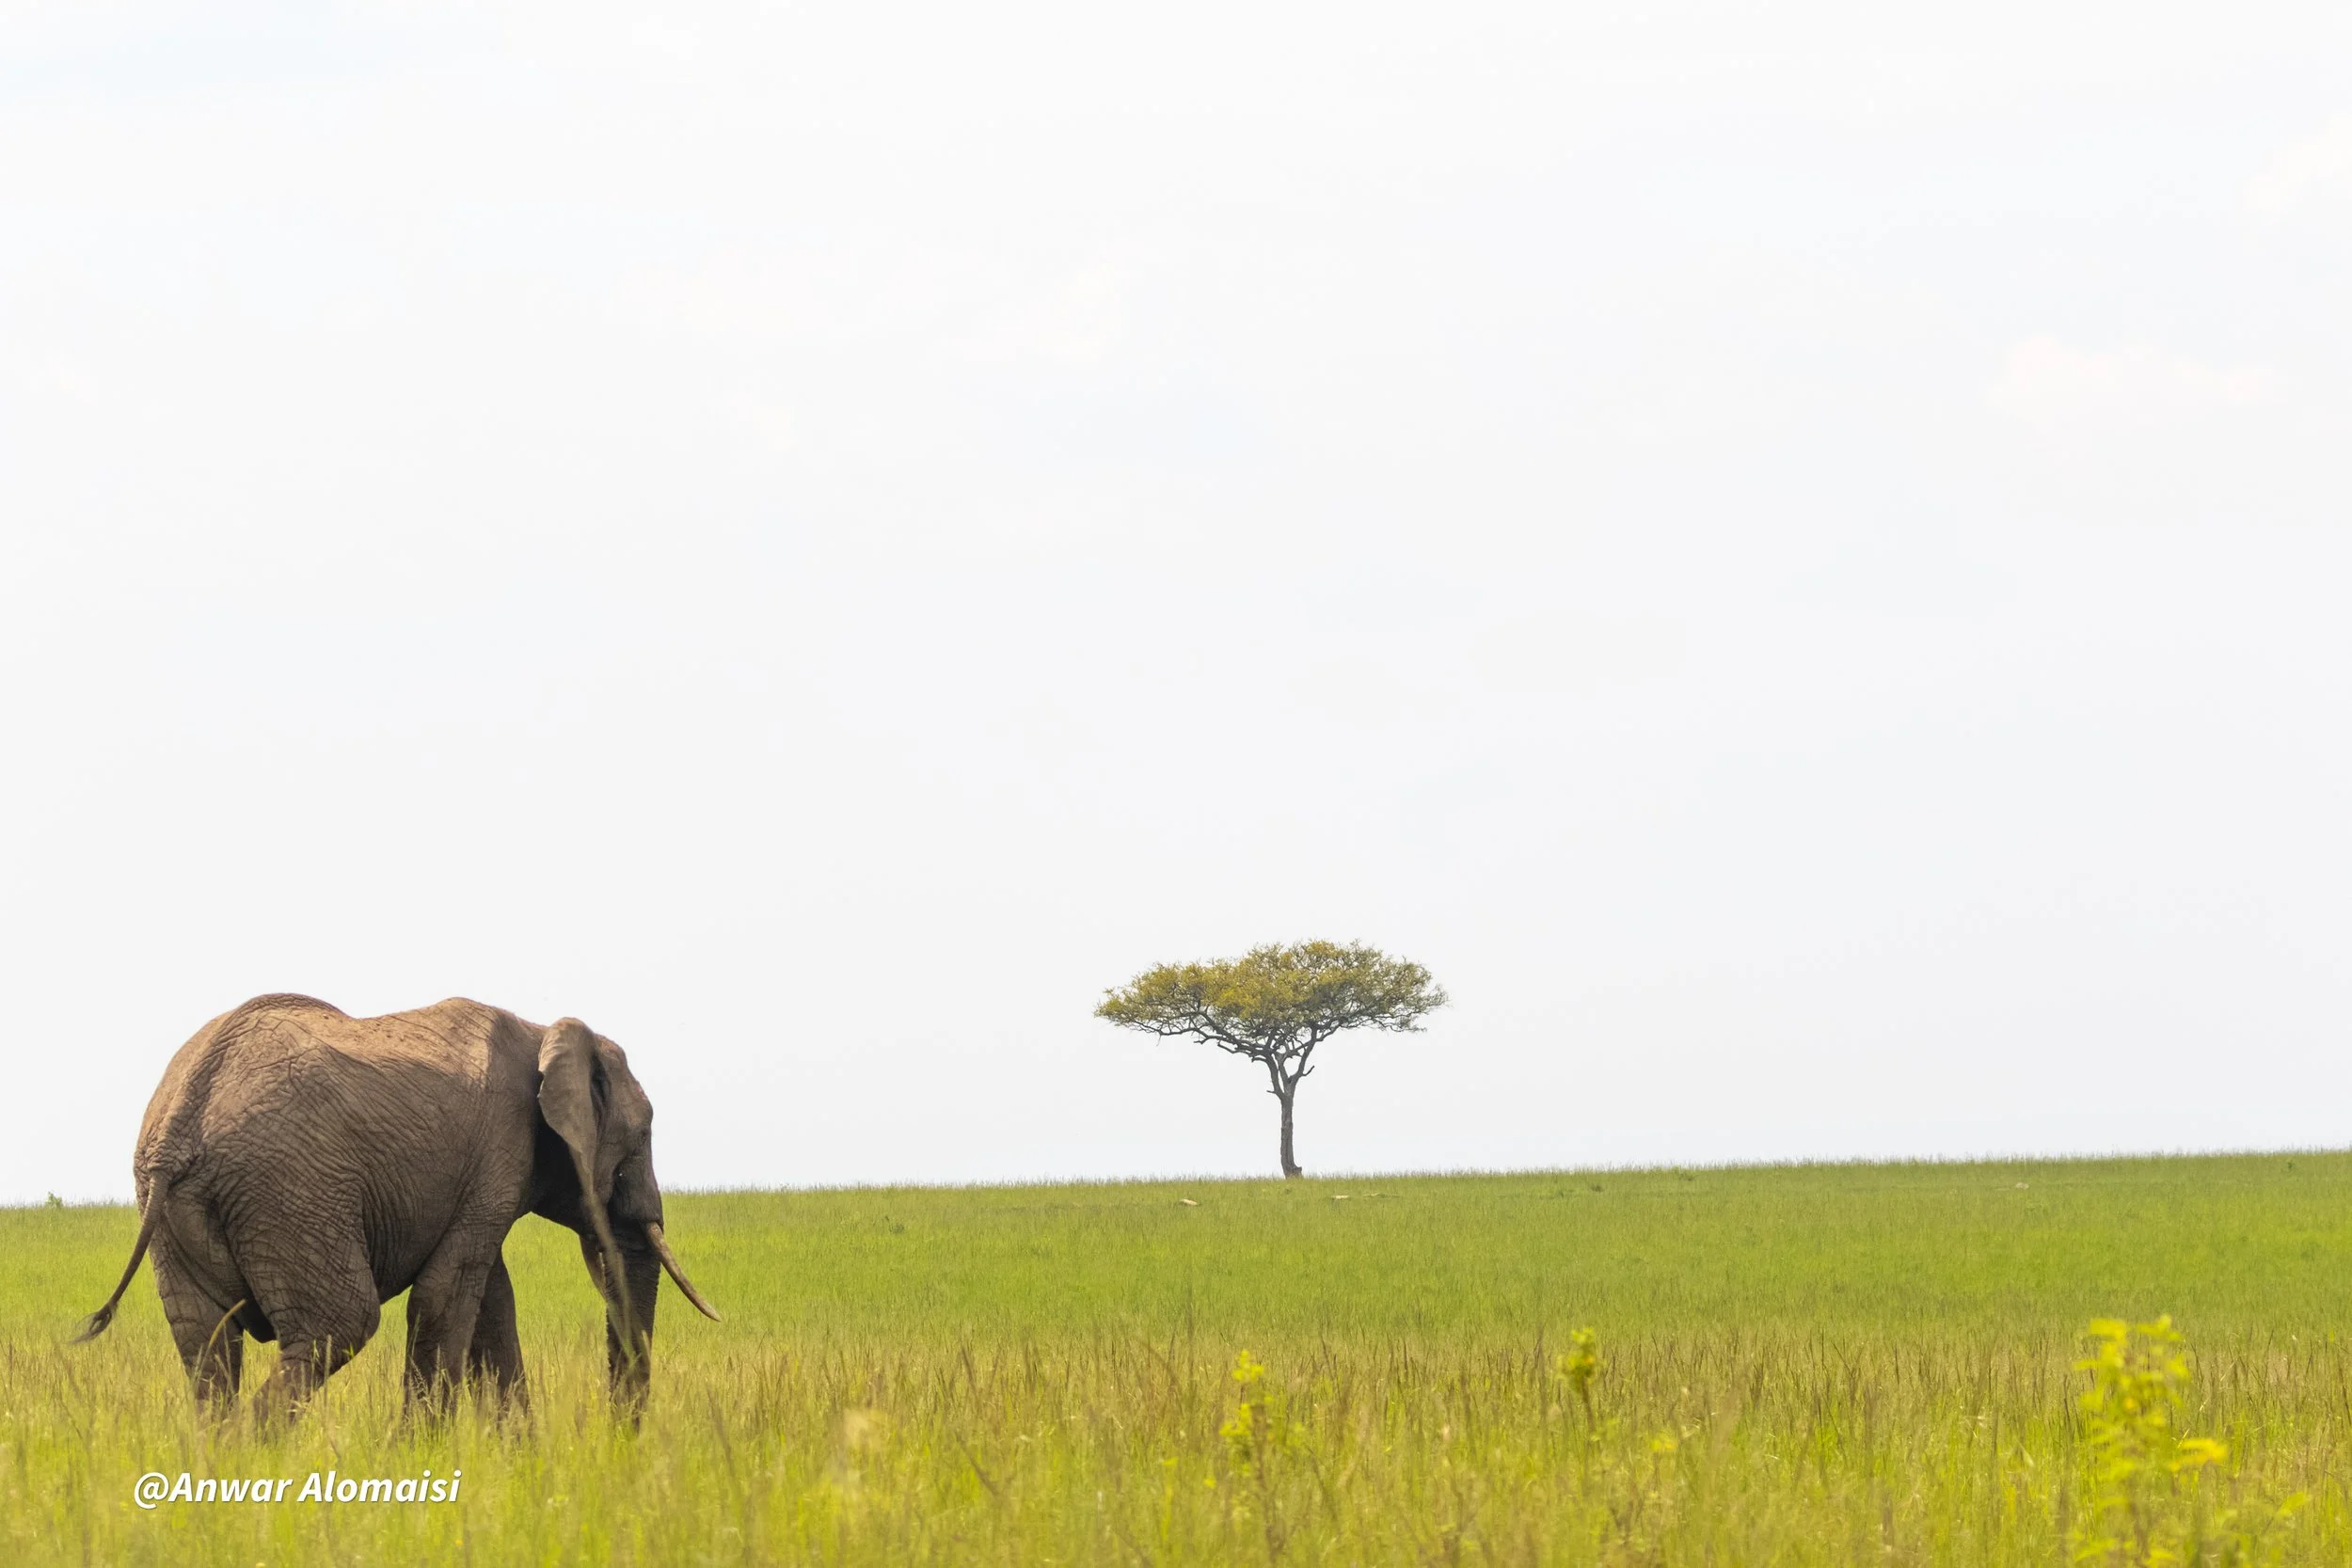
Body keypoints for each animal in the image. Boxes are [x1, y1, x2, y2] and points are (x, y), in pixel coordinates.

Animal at [75, 993, 719, 1421]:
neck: (545, 1031)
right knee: (339, 1324)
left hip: (176, 1210)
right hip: (292, 1190)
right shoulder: (499, 1150)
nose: (615, 1444)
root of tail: (181, 1116)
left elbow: (491, 1303)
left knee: (207, 1346)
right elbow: (449, 1294)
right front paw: (421, 1459)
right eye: (644, 1135)